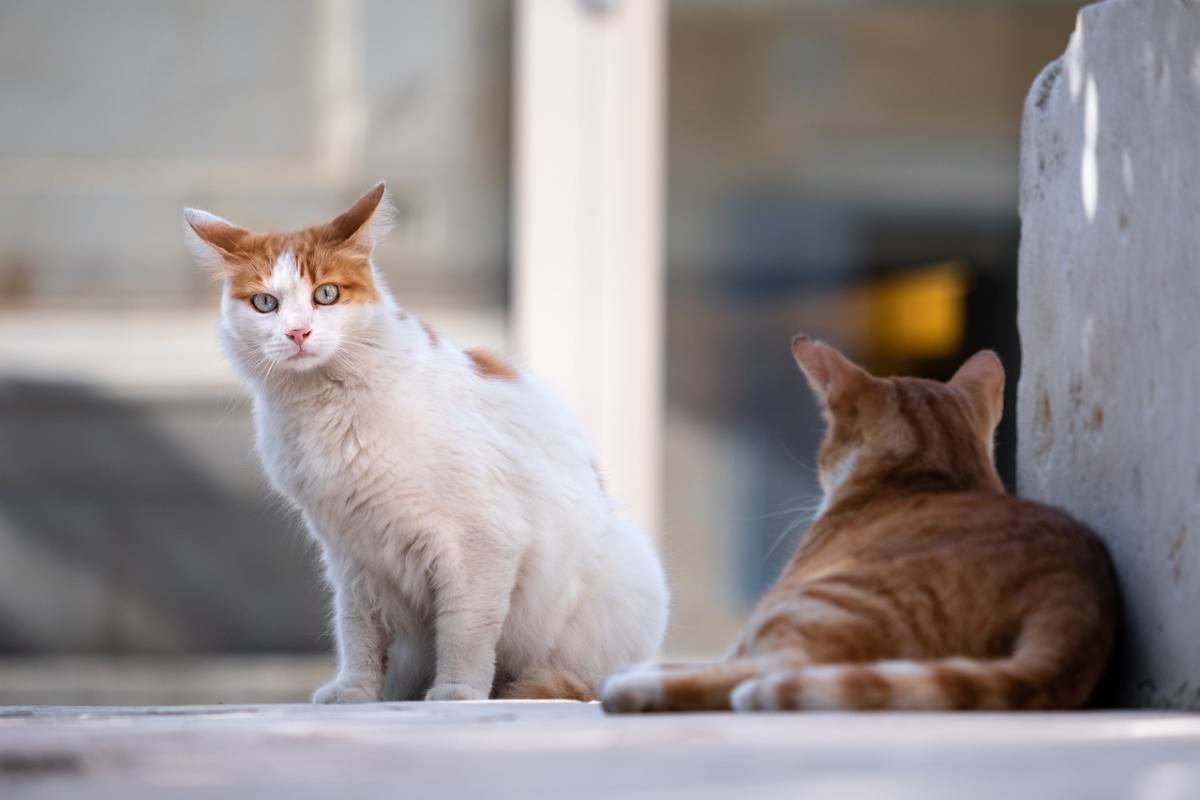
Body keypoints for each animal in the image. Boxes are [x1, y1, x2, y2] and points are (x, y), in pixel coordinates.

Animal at [183, 185, 672, 700]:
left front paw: (457, 692)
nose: (298, 332)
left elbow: (464, 629)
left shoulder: (479, 544)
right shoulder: (352, 556)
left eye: (326, 294)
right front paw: (355, 691)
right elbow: (356, 632)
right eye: (265, 304)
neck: (323, 405)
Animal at [604, 335, 1118, 710]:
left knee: (770, 674)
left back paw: (633, 690)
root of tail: (1073, 589)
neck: (931, 475)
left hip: (811, 604)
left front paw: (641, 673)